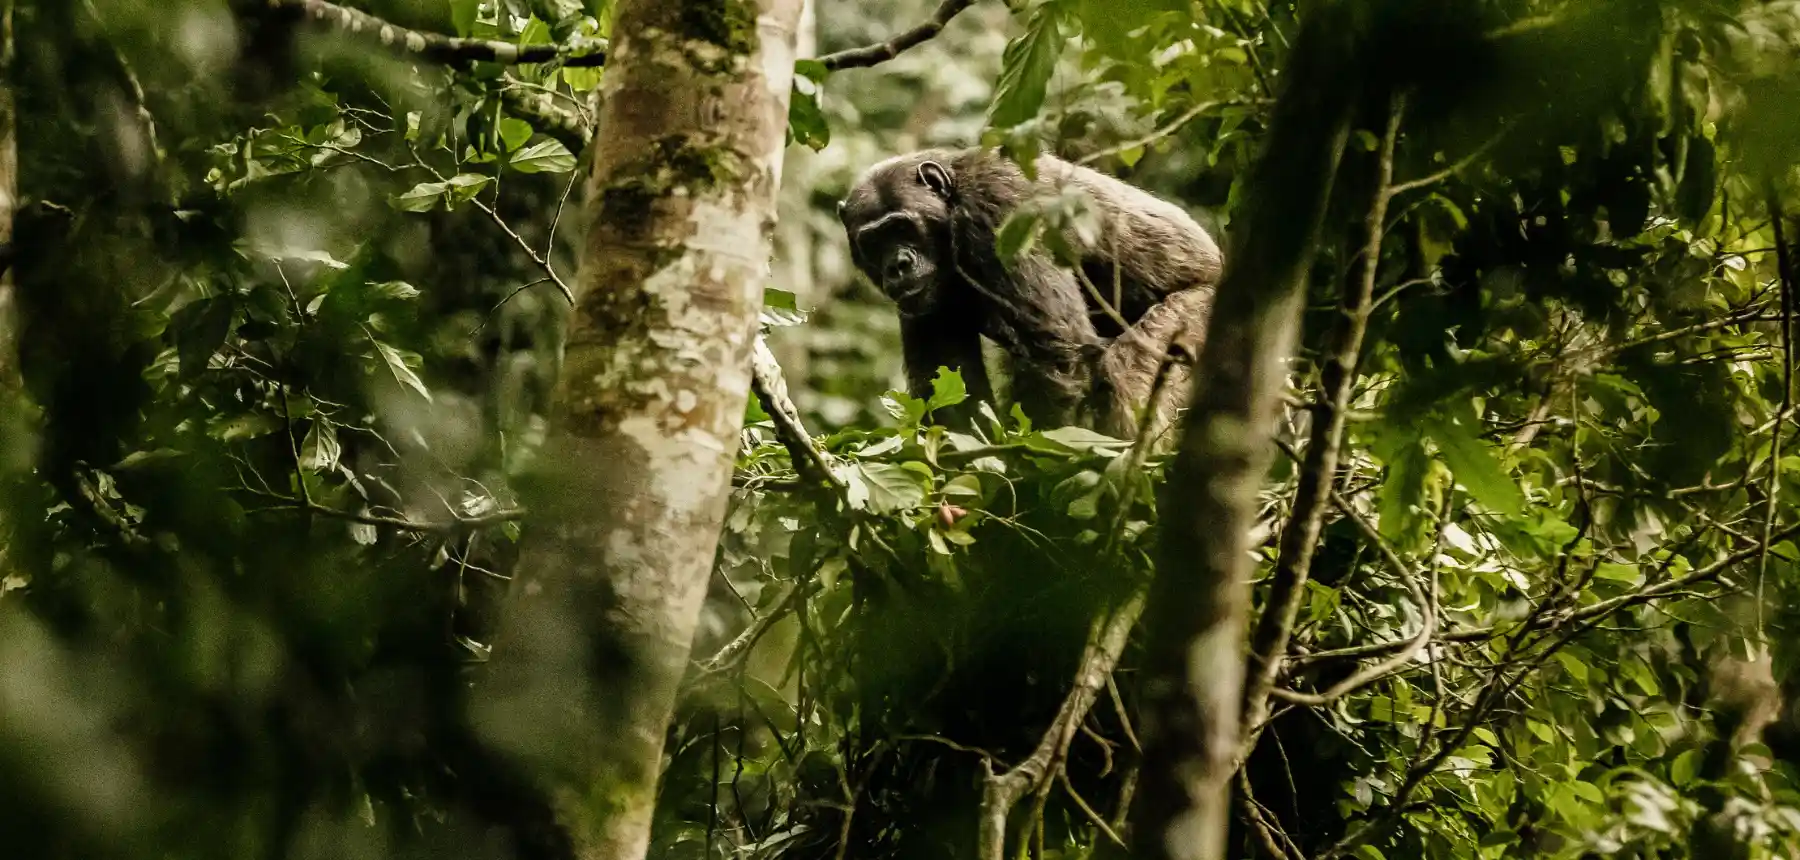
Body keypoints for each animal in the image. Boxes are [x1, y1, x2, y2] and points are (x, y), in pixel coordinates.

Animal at [837, 146, 1223, 440]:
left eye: (901, 227)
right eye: (874, 241)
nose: (897, 264)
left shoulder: (999, 210)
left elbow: (1056, 354)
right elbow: (950, 385)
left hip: (1198, 315)